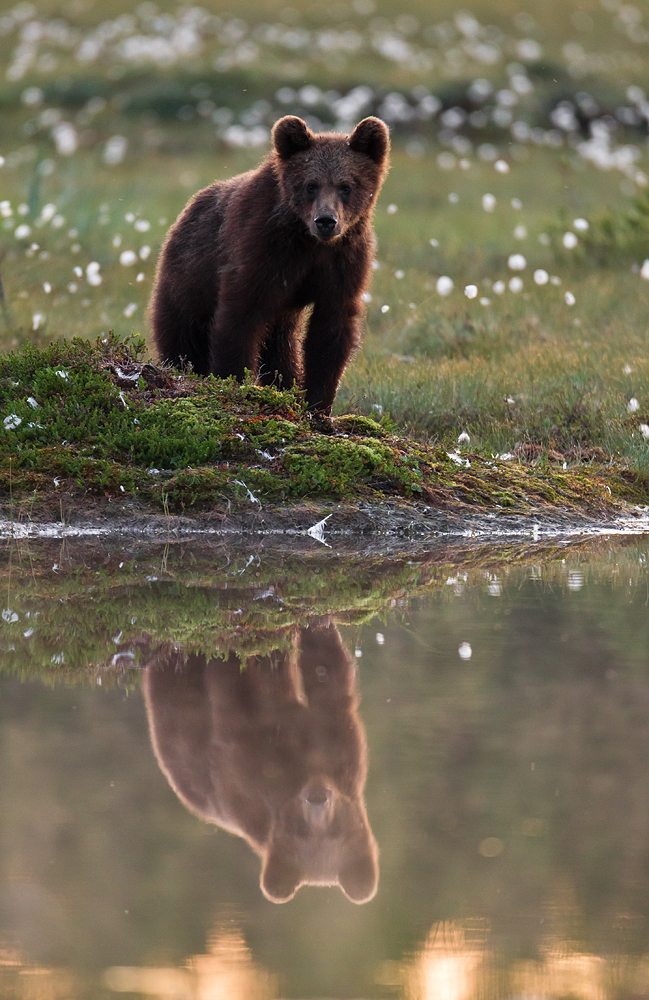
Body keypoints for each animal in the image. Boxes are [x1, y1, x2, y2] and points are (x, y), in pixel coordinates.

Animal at [141, 620, 374, 904]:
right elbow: (231, 695)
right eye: (298, 829)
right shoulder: (246, 770)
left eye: (336, 829)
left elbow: (325, 667)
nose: (317, 798)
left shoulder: (340, 741)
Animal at [148, 115, 390, 412]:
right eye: (311, 184)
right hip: (188, 278)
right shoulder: (263, 250)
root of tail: (188, 208)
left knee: (282, 347)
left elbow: (331, 329)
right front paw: (233, 381)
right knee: (182, 335)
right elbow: (238, 317)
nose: (325, 221)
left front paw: (317, 404)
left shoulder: (344, 261)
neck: (309, 241)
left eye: (346, 186)